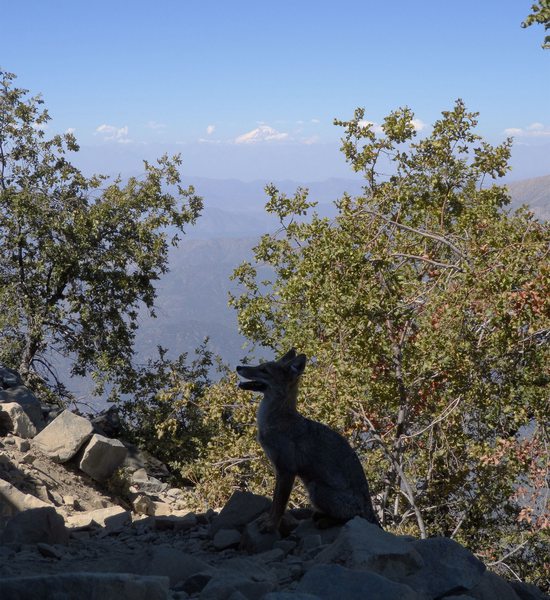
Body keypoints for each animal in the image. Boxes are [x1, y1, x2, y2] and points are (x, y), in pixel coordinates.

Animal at [237, 350, 384, 532]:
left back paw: (325, 521)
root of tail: (369, 508)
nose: (238, 367)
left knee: (351, 518)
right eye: (260, 366)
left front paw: (271, 525)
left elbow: (279, 505)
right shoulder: (279, 470)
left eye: (264, 370)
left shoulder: (287, 471)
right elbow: (274, 504)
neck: (276, 421)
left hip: (315, 488)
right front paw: (268, 520)